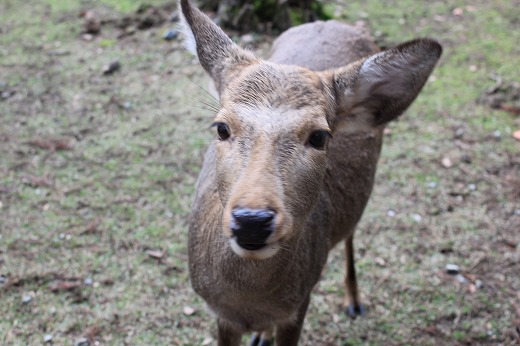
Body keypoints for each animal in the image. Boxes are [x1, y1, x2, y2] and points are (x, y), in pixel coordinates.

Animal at [180, 1, 442, 344]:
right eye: (221, 128)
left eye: (319, 136)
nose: (252, 221)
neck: (249, 301)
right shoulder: (219, 313)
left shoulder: (300, 302)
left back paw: (354, 301)